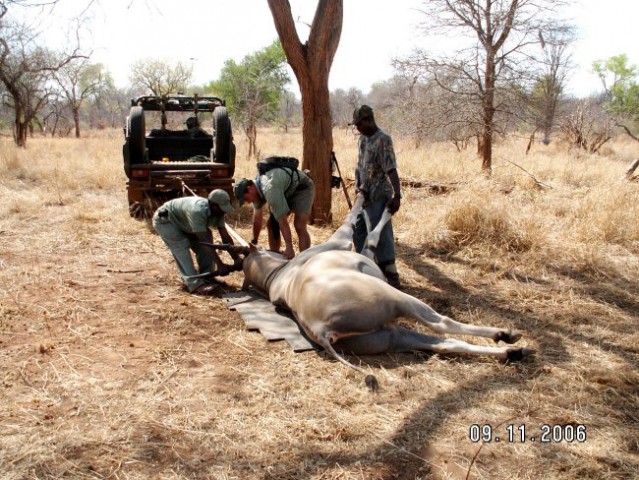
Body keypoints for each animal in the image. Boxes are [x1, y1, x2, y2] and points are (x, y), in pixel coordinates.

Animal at [242, 193, 532, 388]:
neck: (280, 274)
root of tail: (321, 330)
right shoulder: (345, 241)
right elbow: (363, 227)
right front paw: (377, 202)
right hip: (396, 300)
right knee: (442, 324)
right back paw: (507, 336)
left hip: (391, 335)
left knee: (446, 343)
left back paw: (513, 352)